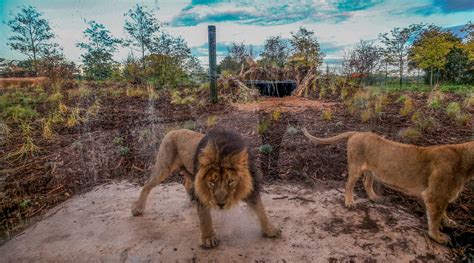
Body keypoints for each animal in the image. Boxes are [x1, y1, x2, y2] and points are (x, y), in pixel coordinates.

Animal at [132, 129, 282, 249]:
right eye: (211, 182)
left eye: (231, 181)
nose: (220, 205)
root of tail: (172, 130)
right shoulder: (202, 188)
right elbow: (205, 217)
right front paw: (208, 239)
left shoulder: (252, 188)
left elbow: (261, 210)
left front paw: (270, 230)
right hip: (164, 166)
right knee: (147, 185)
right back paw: (138, 208)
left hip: (188, 171)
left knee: (186, 183)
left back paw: (191, 198)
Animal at [302, 128, 472, 245]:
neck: (464, 160)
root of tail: (356, 133)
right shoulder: (434, 195)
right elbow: (435, 219)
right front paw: (438, 237)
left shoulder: (439, 196)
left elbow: (442, 212)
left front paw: (449, 221)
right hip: (356, 166)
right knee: (348, 184)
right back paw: (349, 202)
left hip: (370, 170)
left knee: (366, 183)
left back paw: (374, 198)